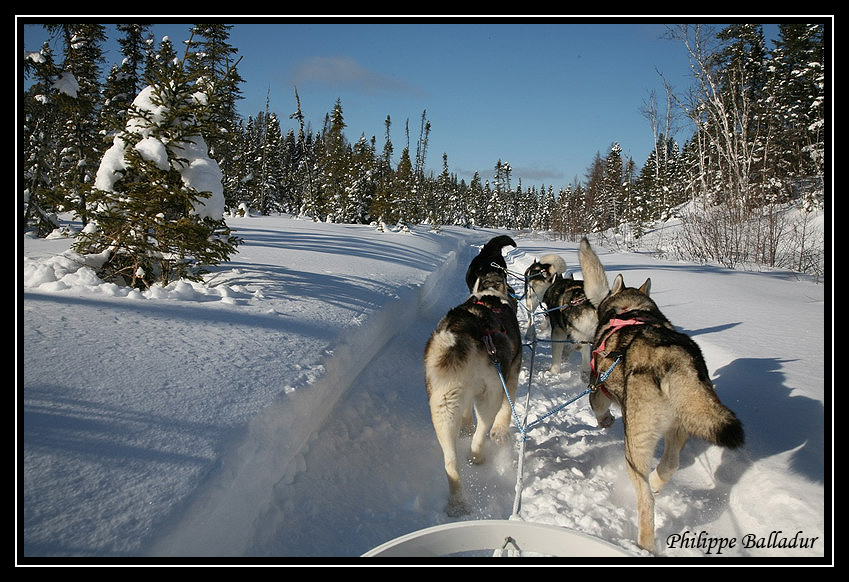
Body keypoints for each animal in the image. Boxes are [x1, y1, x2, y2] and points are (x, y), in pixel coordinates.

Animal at [428, 272, 520, 516]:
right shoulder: (511, 375)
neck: (489, 297)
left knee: (450, 461)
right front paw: (501, 430)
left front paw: (467, 426)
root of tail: (461, 334)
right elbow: (506, 410)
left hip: (443, 404)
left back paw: (457, 502)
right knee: (484, 428)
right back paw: (477, 455)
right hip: (491, 393)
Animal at [576, 236, 744, 552]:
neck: (629, 310)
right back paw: (657, 482)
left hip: (635, 445)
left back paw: (644, 543)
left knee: (645, 499)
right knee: (669, 465)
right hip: (678, 426)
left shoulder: (598, 388)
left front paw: (604, 422)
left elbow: (598, 407)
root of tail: (671, 359)